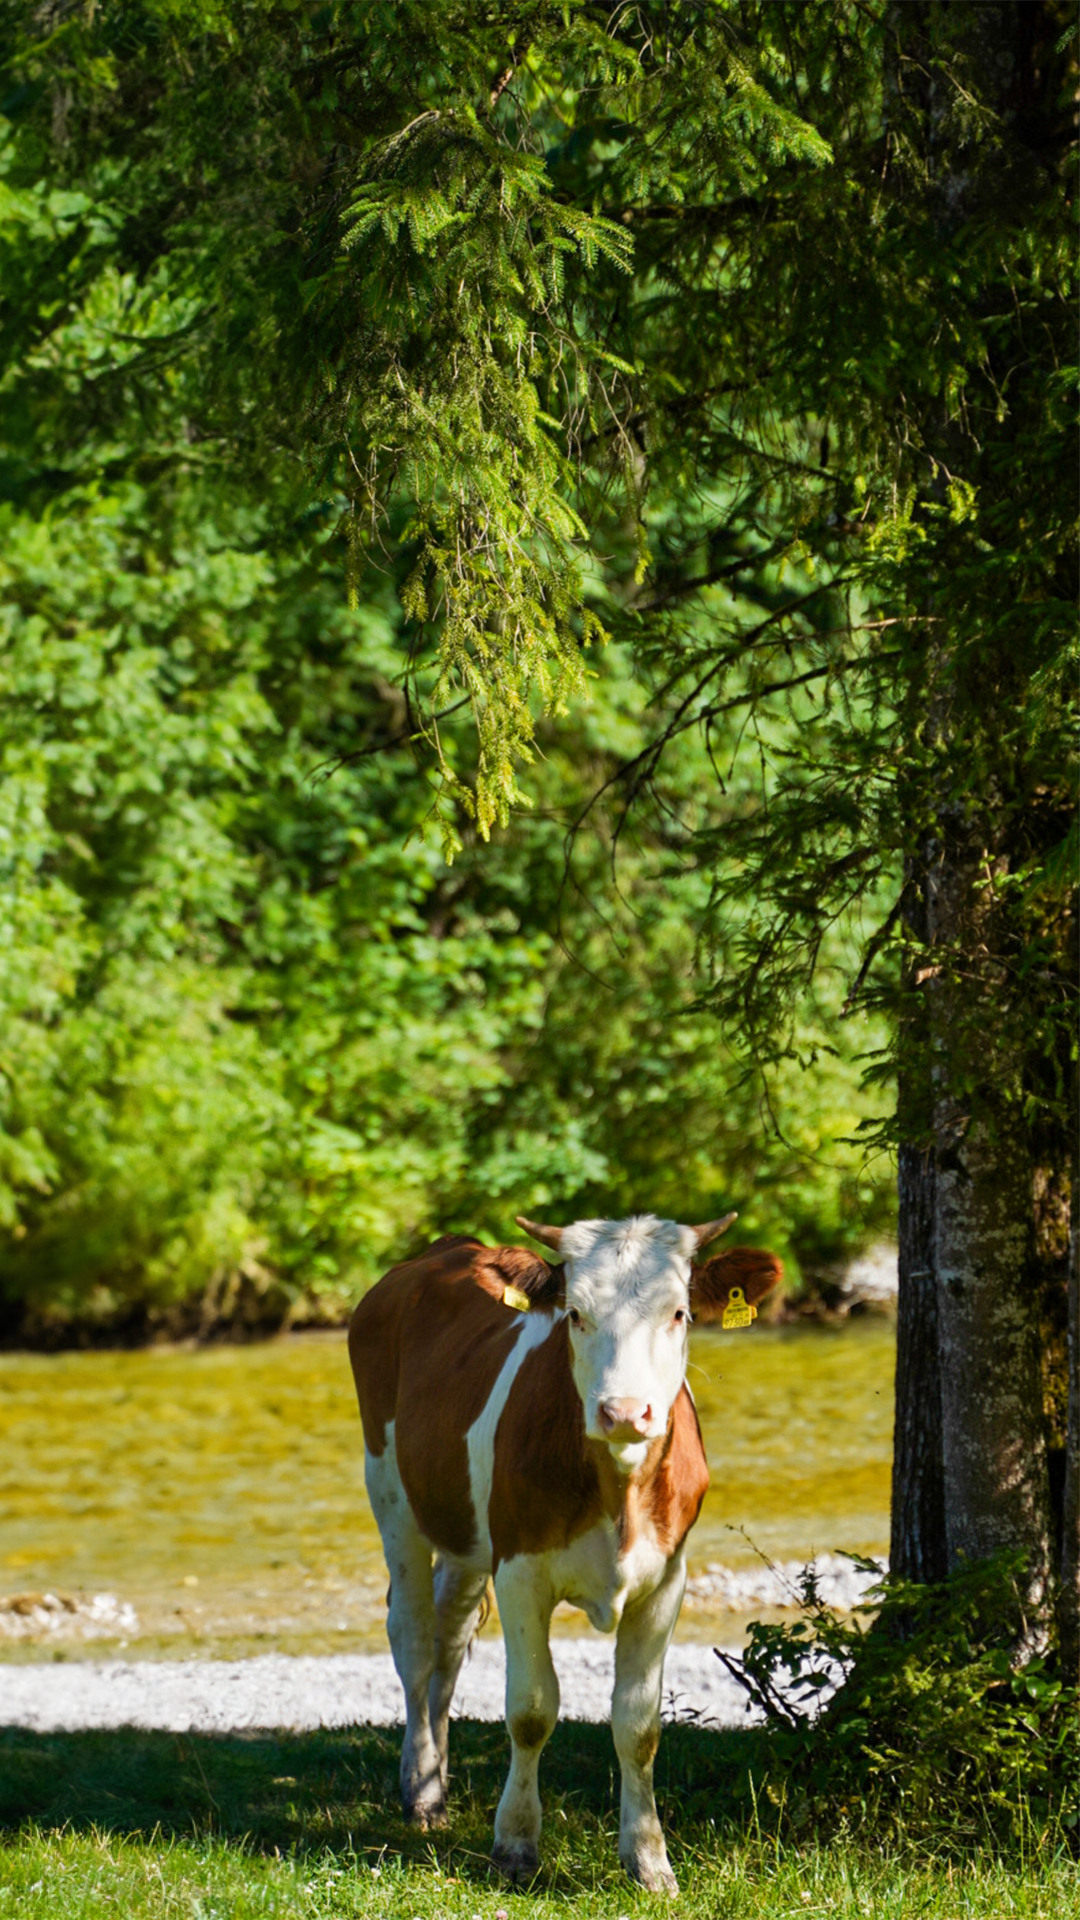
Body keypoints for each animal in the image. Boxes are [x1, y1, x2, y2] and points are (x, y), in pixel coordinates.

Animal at [349, 1205, 776, 1896]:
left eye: (679, 1313)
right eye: (575, 1313)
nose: (625, 1412)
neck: (617, 1489)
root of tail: (442, 1251)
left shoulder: (666, 1582)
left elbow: (639, 1724)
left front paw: (649, 1859)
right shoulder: (521, 1571)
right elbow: (530, 1710)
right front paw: (516, 1845)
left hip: (466, 1536)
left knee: (448, 1636)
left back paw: (437, 1780)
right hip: (391, 1493)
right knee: (412, 1638)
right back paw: (420, 1789)